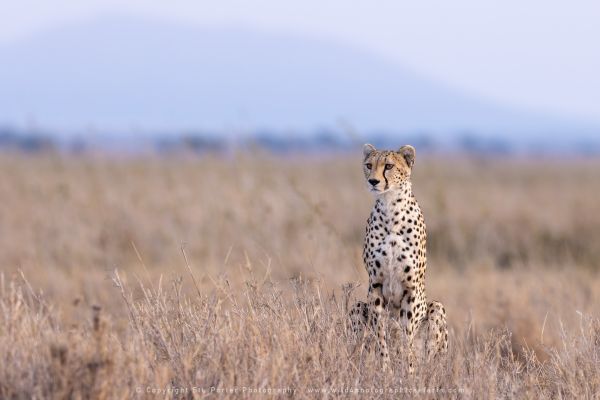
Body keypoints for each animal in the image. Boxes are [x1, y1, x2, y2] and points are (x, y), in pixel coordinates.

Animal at [350, 144, 448, 372]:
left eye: (388, 166)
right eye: (369, 165)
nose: (373, 181)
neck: (390, 208)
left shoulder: (410, 288)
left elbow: (406, 336)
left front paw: (408, 370)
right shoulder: (375, 284)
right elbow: (381, 334)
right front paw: (385, 369)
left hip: (437, 309)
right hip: (357, 307)